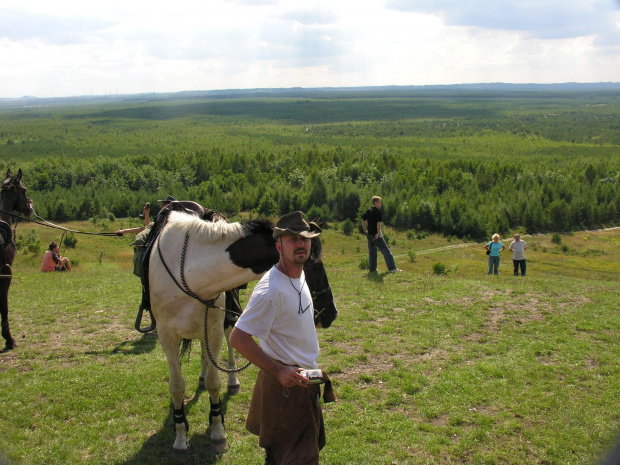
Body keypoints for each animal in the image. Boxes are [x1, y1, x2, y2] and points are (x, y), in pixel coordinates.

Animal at [148, 212, 336, 452]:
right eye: (316, 266)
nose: (332, 312)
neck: (191, 271)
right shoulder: (166, 336)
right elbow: (176, 386)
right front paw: (180, 436)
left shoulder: (214, 329)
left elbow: (213, 381)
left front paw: (218, 432)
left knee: (226, 342)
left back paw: (231, 381)